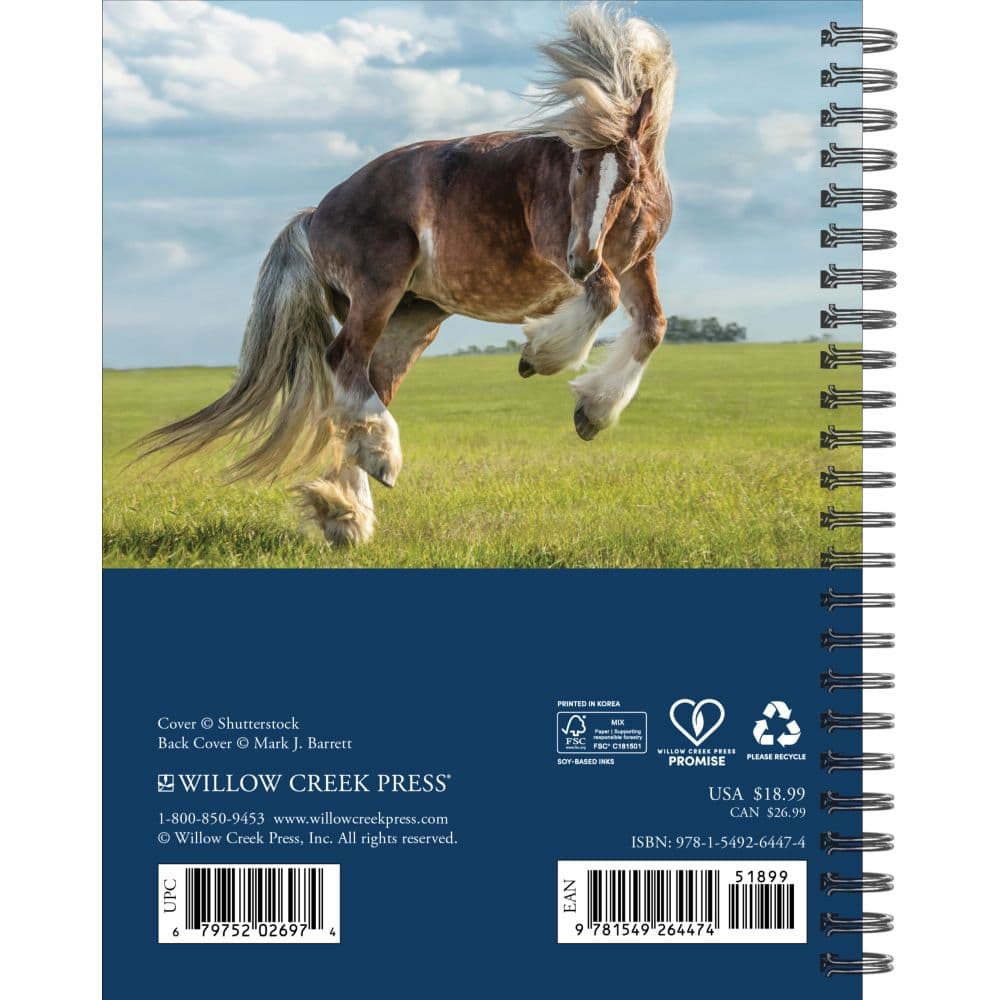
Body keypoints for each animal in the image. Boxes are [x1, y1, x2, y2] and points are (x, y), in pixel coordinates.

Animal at [138, 3, 676, 546]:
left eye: (627, 177)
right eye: (580, 167)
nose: (581, 258)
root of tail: (315, 216)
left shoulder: (637, 264)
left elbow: (652, 326)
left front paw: (593, 411)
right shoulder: (561, 250)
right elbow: (604, 297)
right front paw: (540, 356)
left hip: (413, 320)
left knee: (363, 387)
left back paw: (346, 513)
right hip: (380, 289)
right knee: (343, 360)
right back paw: (378, 467)